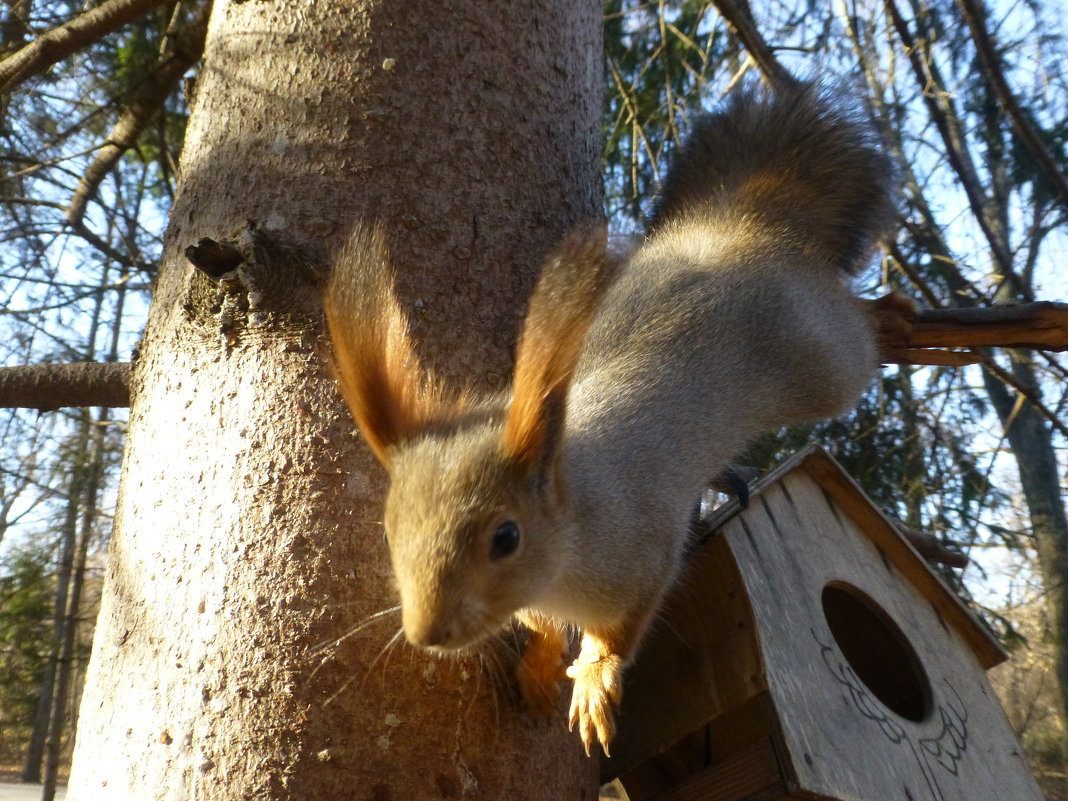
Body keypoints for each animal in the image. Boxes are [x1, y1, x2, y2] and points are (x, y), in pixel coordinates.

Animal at [322, 83, 901, 760]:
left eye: (506, 537)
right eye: (388, 531)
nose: (427, 634)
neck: (571, 524)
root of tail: (735, 230)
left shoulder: (642, 550)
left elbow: (623, 628)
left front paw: (595, 681)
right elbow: (540, 625)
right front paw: (542, 663)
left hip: (821, 353)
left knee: (858, 328)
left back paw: (909, 320)